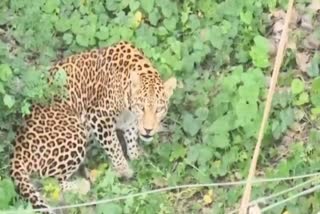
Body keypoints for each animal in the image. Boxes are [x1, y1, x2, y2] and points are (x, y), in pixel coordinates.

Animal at [10, 41, 176, 213]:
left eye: (159, 109)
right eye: (141, 108)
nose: (148, 130)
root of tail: (18, 151)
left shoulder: (129, 119)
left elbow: (130, 136)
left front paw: (135, 155)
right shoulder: (99, 117)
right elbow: (114, 146)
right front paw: (124, 170)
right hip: (75, 131)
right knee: (47, 182)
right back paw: (82, 185)